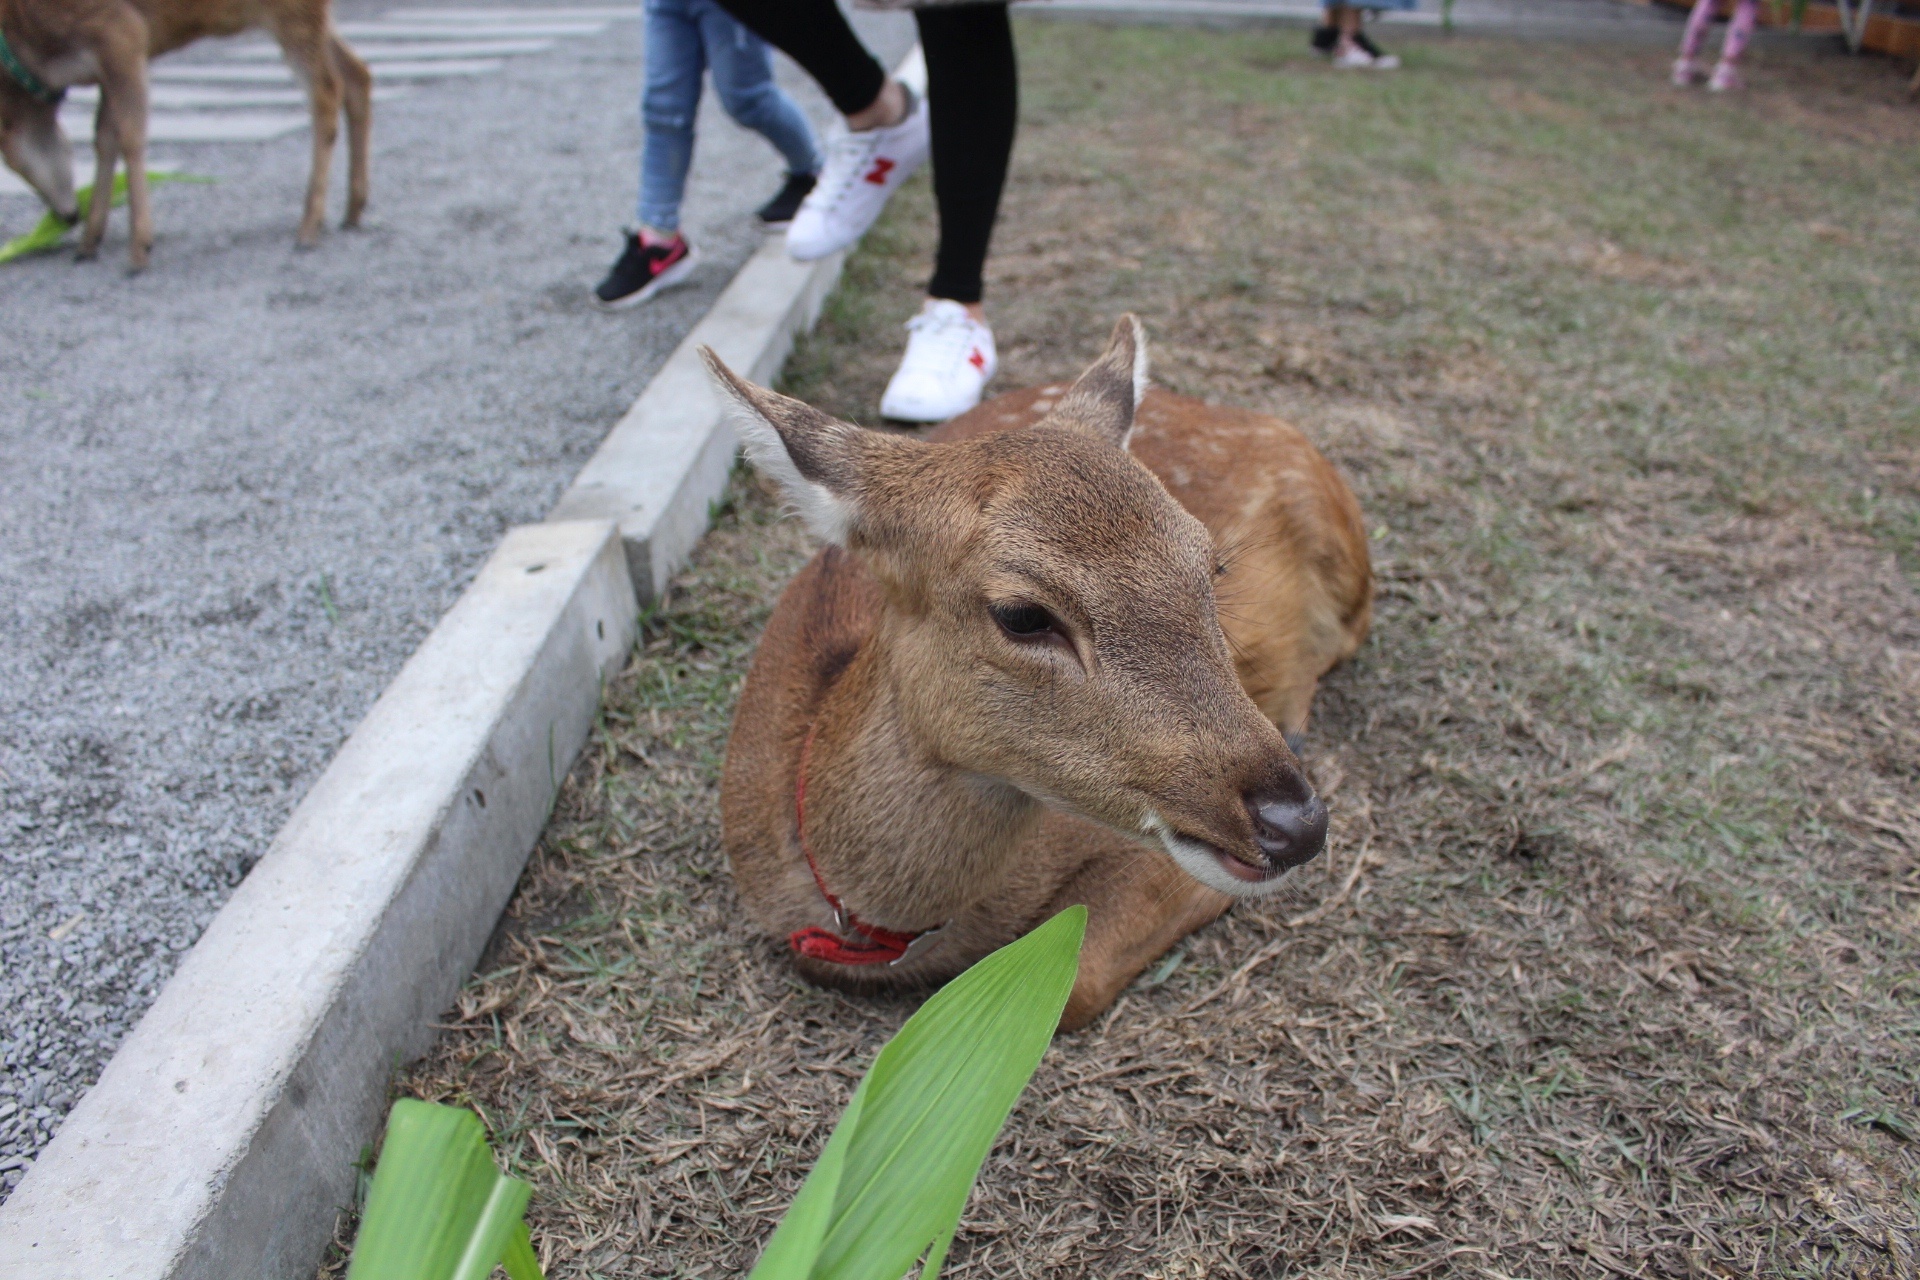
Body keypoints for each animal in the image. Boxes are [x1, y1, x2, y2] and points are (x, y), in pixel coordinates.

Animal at [0, 0, 370, 270]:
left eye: (11, 158)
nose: (66, 215)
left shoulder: (122, 33)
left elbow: (131, 135)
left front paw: (139, 249)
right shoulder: (107, 64)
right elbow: (104, 137)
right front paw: (88, 243)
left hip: (295, 13)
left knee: (328, 91)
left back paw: (309, 226)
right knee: (357, 73)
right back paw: (352, 210)